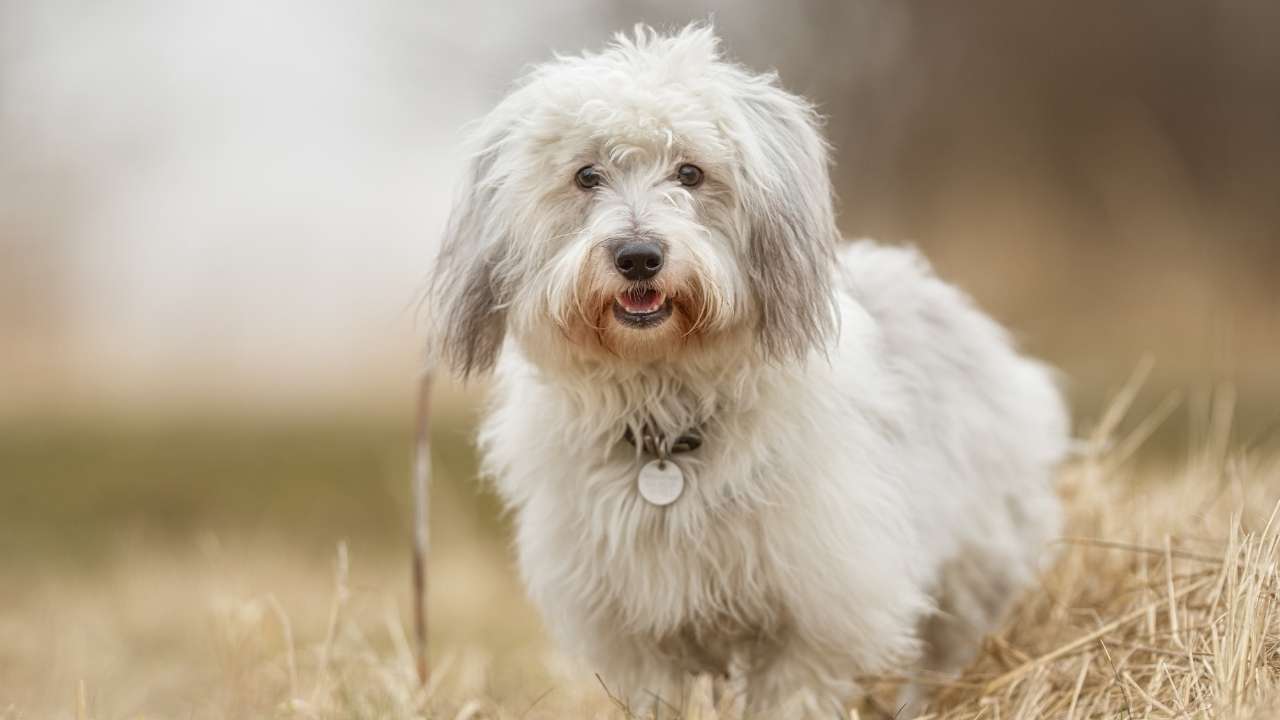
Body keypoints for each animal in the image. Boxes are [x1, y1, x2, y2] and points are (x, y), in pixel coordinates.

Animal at [430, 23, 1070, 717]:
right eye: (586, 175)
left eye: (690, 172)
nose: (638, 256)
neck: (667, 420)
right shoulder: (638, 633)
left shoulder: (814, 611)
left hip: (975, 572)